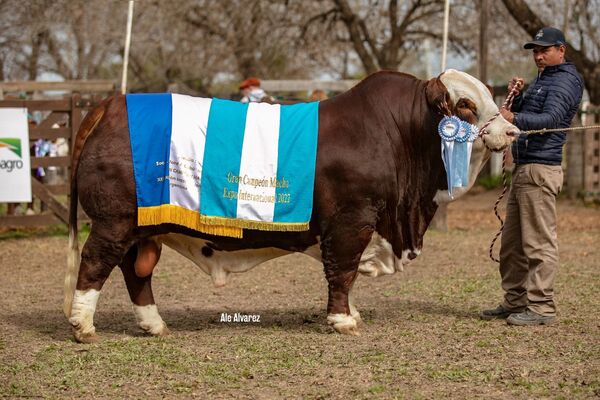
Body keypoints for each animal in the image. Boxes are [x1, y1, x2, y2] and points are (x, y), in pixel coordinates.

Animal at [64, 70, 516, 342]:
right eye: (465, 105)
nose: (512, 131)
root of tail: (112, 104)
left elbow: (348, 274)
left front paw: (351, 313)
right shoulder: (352, 220)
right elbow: (343, 271)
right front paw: (342, 320)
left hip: (142, 230)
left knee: (136, 272)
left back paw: (154, 324)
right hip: (113, 221)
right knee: (95, 262)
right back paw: (83, 325)